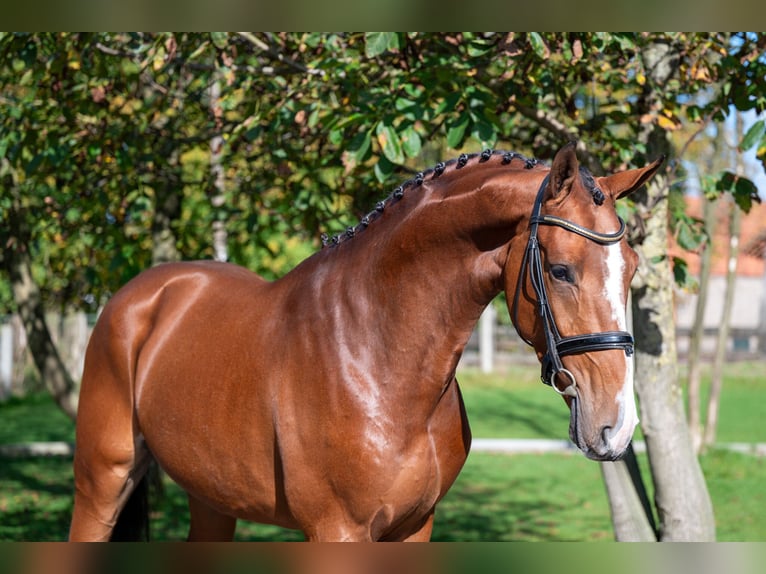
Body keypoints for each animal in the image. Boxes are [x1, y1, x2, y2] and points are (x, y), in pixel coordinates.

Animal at [69, 142, 664, 544]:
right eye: (561, 271)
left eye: (632, 268)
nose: (617, 426)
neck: (376, 354)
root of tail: (138, 296)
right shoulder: (338, 531)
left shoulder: (415, 526)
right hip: (102, 481)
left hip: (212, 497)